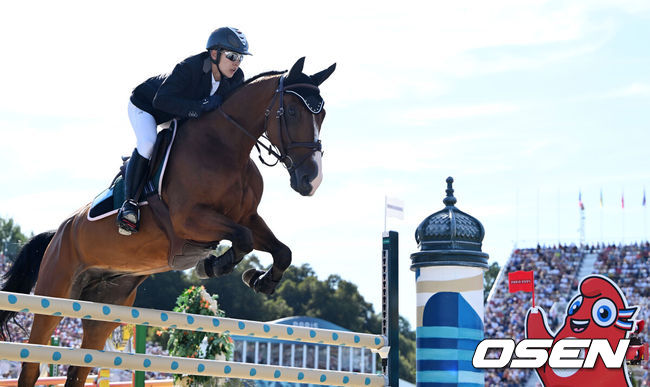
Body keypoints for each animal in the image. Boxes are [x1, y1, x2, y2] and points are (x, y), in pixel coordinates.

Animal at [0, 57, 334, 387]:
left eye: (323, 115)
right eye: (292, 112)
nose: (312, 180)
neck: (225, 148)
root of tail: (58, 233)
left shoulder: (248, 217)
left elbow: (281, 250)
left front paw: (261, 280)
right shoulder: (188, 219)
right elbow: (242, 239)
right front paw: (213, 266)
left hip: (104, 307)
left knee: (79, 368)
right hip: (54, 295)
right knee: (31, 364)